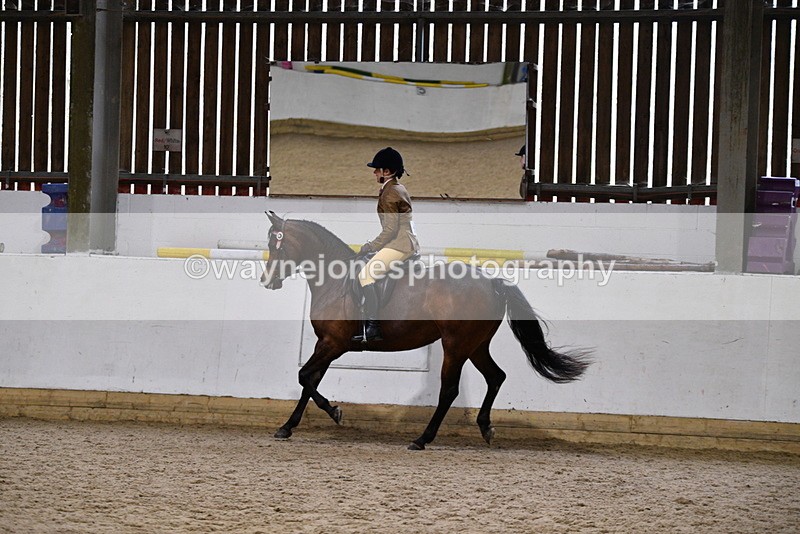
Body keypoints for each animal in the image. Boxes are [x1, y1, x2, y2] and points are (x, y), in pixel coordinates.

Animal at [260, 211, 591, 450]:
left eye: (276, 245)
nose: (267, 281)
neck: (335, 281)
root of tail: (492, 282)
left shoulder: (333, 343)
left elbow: (304, 376)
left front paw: (335, 412)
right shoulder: (327, 344)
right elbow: (309, 381)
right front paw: (287, 427)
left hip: (455, 346)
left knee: (450, 390)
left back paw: (422, 439)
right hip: (476, 345)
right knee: (496, 377)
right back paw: (485, 428)